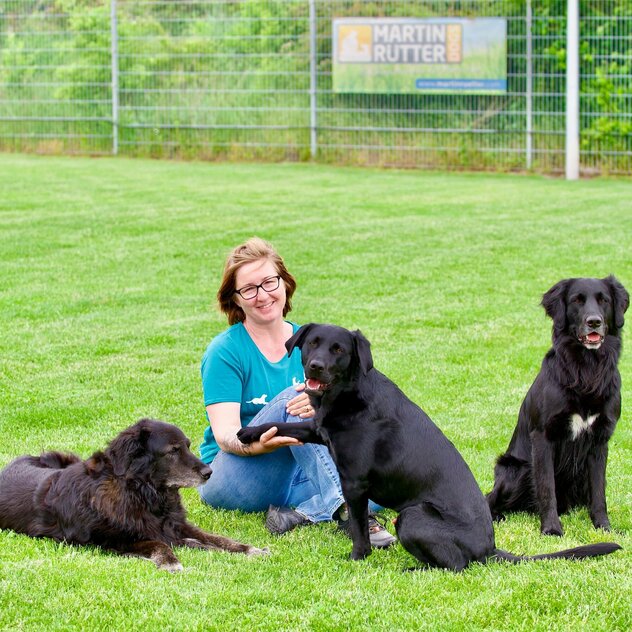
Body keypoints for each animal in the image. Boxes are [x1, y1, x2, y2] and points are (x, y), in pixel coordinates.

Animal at [0, 418, 268, 572]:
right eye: (173, 450)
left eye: (188, 446)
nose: (208, 472)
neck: (143, 493)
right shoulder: (109, 541)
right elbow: (163, 542)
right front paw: (171, 561)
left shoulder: (177, 525)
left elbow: (217, 539)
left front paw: (249, 549)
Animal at [238, 324, 624, 572]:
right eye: (312, 344)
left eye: (338, 350)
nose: (315, 366)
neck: (348, 396)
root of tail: (490, 548)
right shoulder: (319, 431)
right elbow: (285, 426)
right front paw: (249, 433)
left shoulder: (354, 483)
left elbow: (359, 527)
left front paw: (357, 558)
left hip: (411, 515)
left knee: (455, 566)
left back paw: (413, 570)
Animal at [488, 274, 628, 536]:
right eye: (577, 300)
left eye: (603, 300)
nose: (594, 322)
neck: (586, 369)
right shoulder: (543, 436)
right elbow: (546, 488)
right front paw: (552, 529)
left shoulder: (599, 440)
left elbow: (599, 491)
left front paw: (603, 526)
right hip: (516, 470)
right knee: (489, 499)